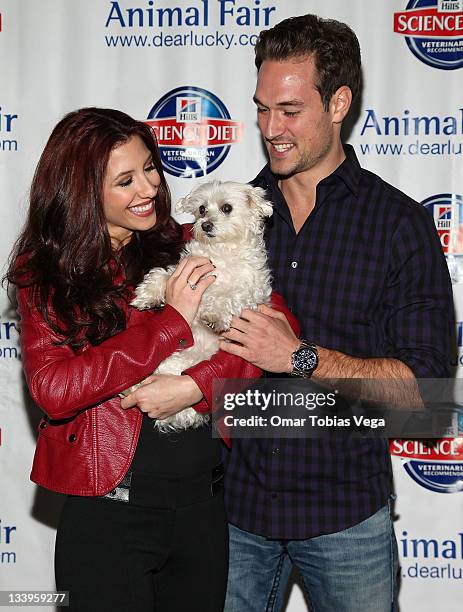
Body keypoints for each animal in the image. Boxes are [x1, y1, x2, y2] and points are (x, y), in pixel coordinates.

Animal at [129, 180, 274, 430]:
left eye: (227, 208)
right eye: (202, 209)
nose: (205, 225)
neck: (220, 251)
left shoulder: (252, 290)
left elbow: (229, 295)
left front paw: (214, 315)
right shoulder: (184, 269)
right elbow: (162, 275)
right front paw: (147, 295)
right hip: (174, 360)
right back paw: (134, 386)